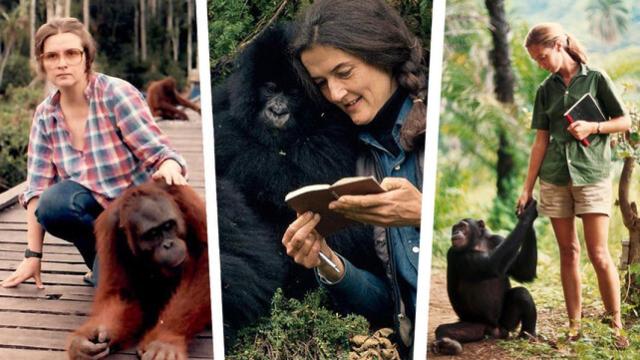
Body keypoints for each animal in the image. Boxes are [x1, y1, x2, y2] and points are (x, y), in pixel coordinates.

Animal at [430, 201, 540, 356]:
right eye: (454, 228)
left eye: (462, 226)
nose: (456, 232)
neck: (478, 243)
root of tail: (494, 330)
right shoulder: (455, 254)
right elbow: (491, 265)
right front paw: (528, 215)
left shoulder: (498, 239)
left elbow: (523, 271)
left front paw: (529, 213)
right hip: (476, 326)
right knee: (443, 329)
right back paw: (448, 345)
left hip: (506, 324)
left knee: (522, 294)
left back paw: (528, 336)